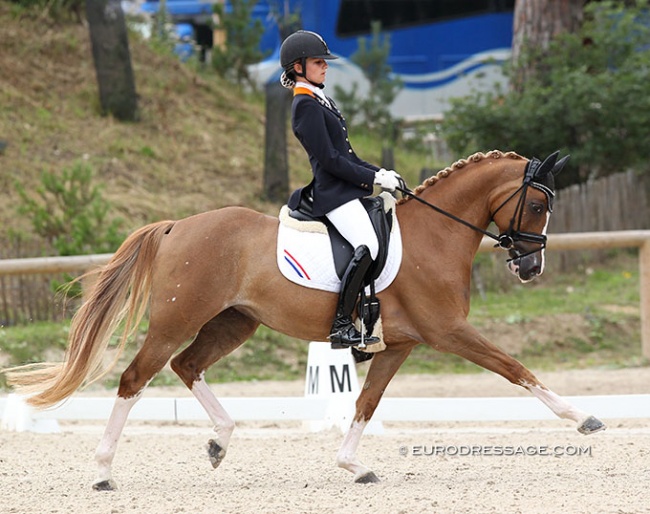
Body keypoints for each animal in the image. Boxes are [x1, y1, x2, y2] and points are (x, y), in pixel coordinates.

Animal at [3, 148, 604, 484]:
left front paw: (353, 466)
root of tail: (177, 225)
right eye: (537, 205)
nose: (531, 266)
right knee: (136, 377)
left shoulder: (401, 344)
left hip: (234, 322)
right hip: (178, 320)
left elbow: (365, 403)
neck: (436, 234)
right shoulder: (449, 332)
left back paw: (221, 441)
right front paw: (583, 419)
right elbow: (515, 368)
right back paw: (104, 471)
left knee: (186, 367)